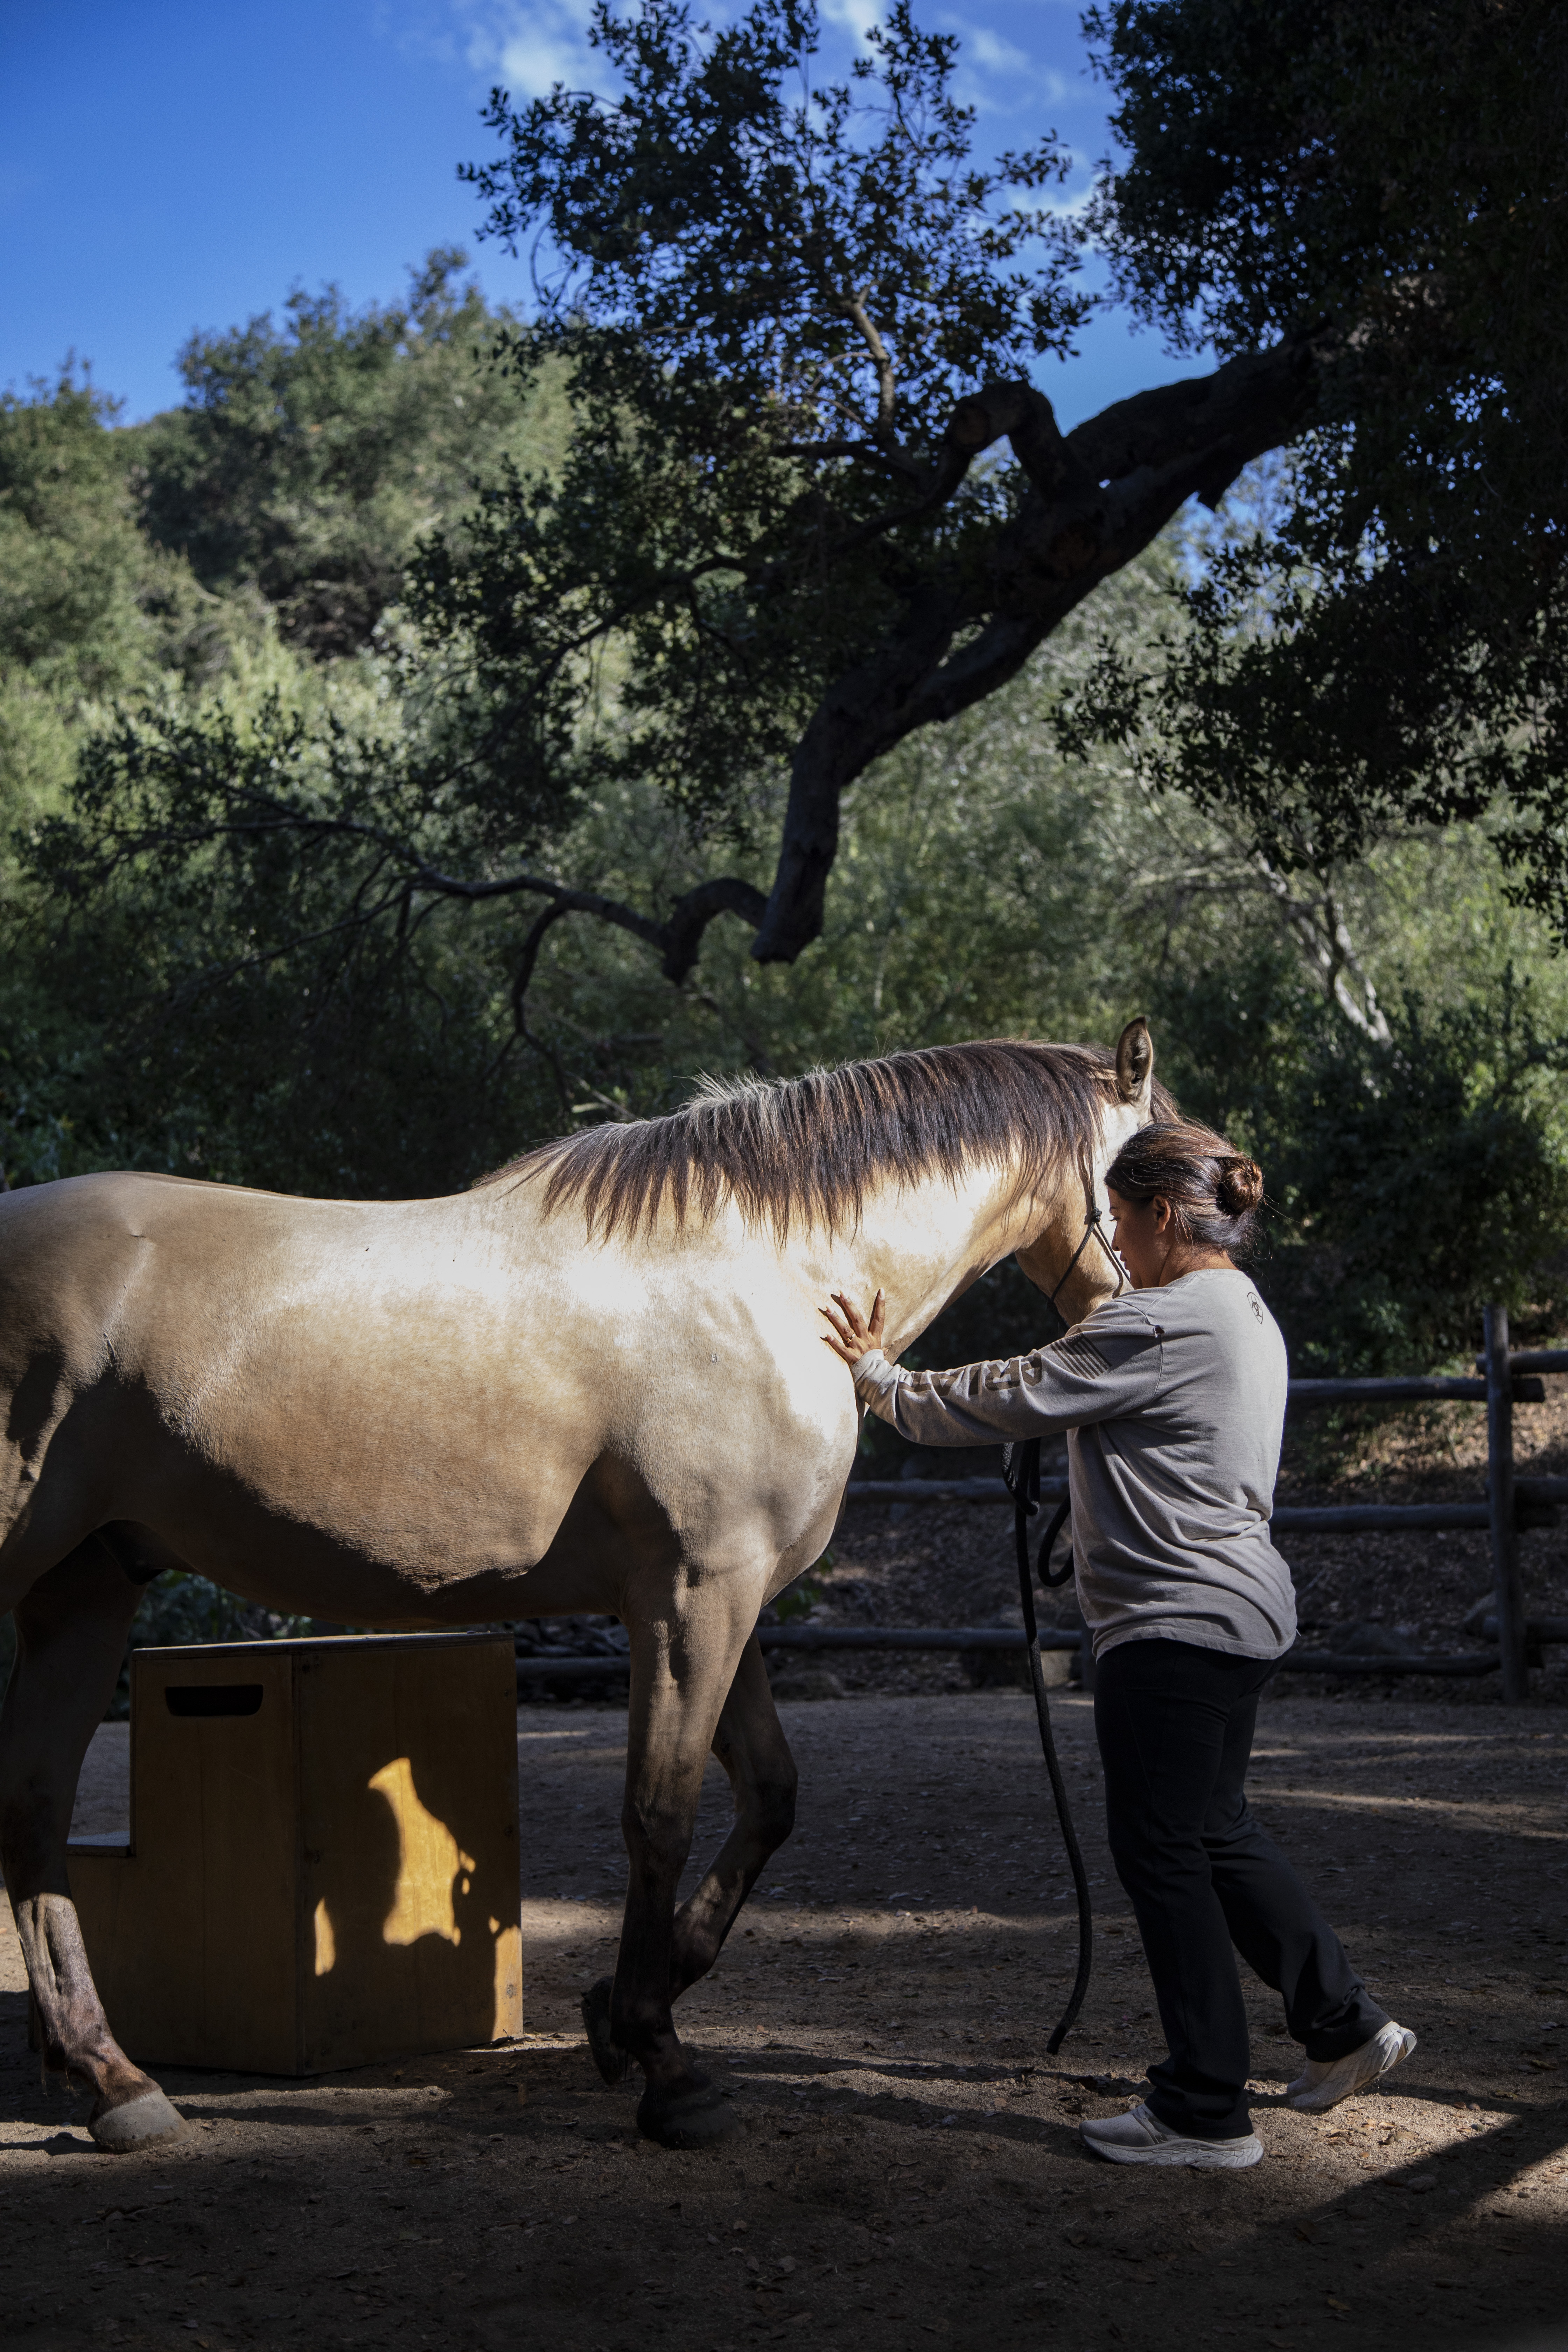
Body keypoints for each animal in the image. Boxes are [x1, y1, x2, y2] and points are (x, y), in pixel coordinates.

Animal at [0, 1018, 1157, 2154]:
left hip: (84, 1588)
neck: (767, 1279)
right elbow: (659, 1811)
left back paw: (111, 2077)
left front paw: (620, 2009)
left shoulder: (728, 1601)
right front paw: (663, 2063)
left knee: (37, 1803)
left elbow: (768, 1794)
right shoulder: (692, 1600)